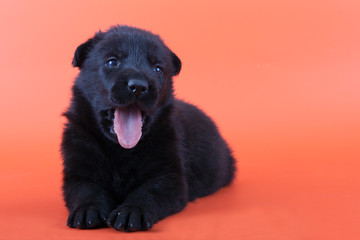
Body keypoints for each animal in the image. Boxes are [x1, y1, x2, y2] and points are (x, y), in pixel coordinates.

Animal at [62, 25, 236, 232]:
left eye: (158, 69)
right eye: (112, 62)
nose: (138, 86)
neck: (120, 149)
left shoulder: (170, 176)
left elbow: (149, 191)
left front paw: (131, 212)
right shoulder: (78, 172)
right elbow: (87, 189)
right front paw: (89, 209)